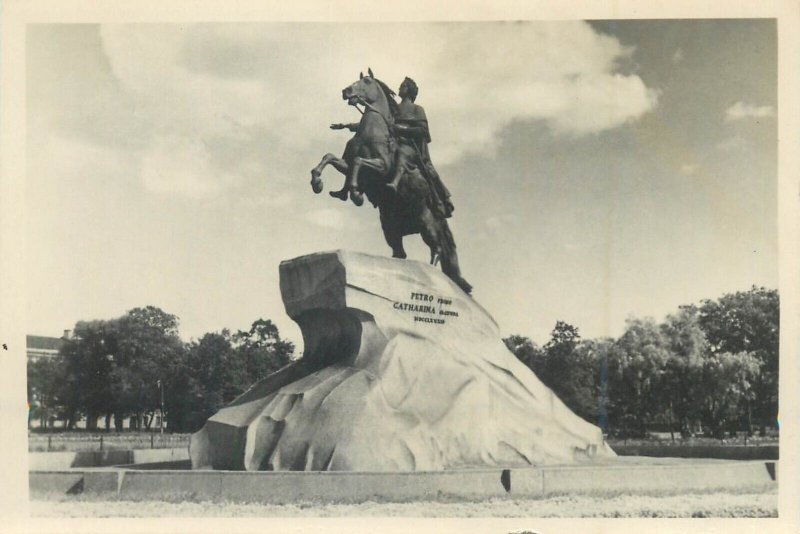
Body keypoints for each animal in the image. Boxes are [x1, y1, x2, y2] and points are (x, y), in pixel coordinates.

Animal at [304, 69, 468, 296]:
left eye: (366, 81)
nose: (346, 91)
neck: (371, 130)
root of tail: (440, 211)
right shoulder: (346, 165)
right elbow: (330, 157)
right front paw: (318, 182)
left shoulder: (381, 166)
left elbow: (358, 162)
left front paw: (355, 193)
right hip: (390, 226)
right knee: (400, 252)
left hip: (426, 221)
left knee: (437, 248)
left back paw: (433, 278)